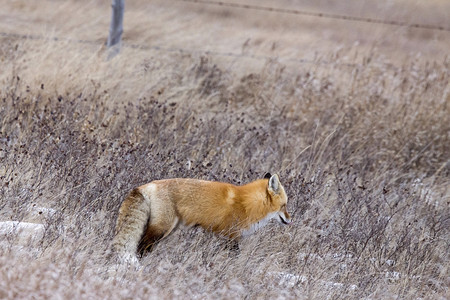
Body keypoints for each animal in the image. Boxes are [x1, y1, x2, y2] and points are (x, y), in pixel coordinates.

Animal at [110, 173, 290, 260]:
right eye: (284, 206)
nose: (290, 220)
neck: (248, 204)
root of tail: (145, 186)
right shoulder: (231, 236)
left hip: (168, 231)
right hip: (161, 229)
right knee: (141, 246)